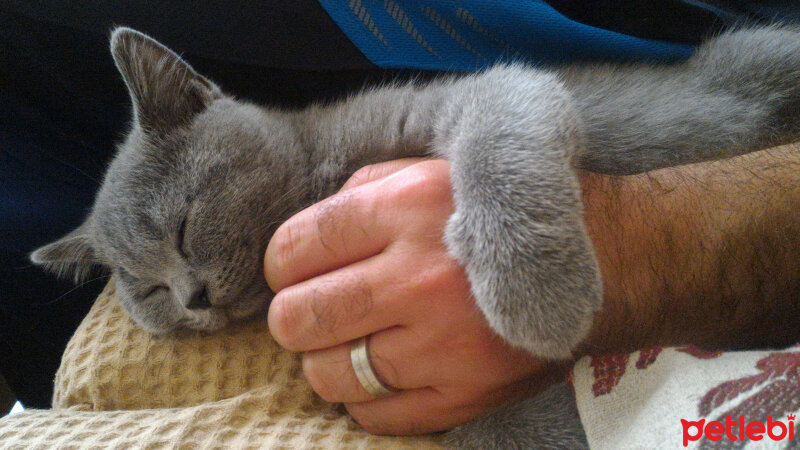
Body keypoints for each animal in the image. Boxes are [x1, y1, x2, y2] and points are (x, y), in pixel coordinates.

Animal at [34, 27, 800, 446]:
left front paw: (537, 293)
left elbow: (500, 132)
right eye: (148, 290)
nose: (191, 298)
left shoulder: (481, 93)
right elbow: (509, 428)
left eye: (185, 227)